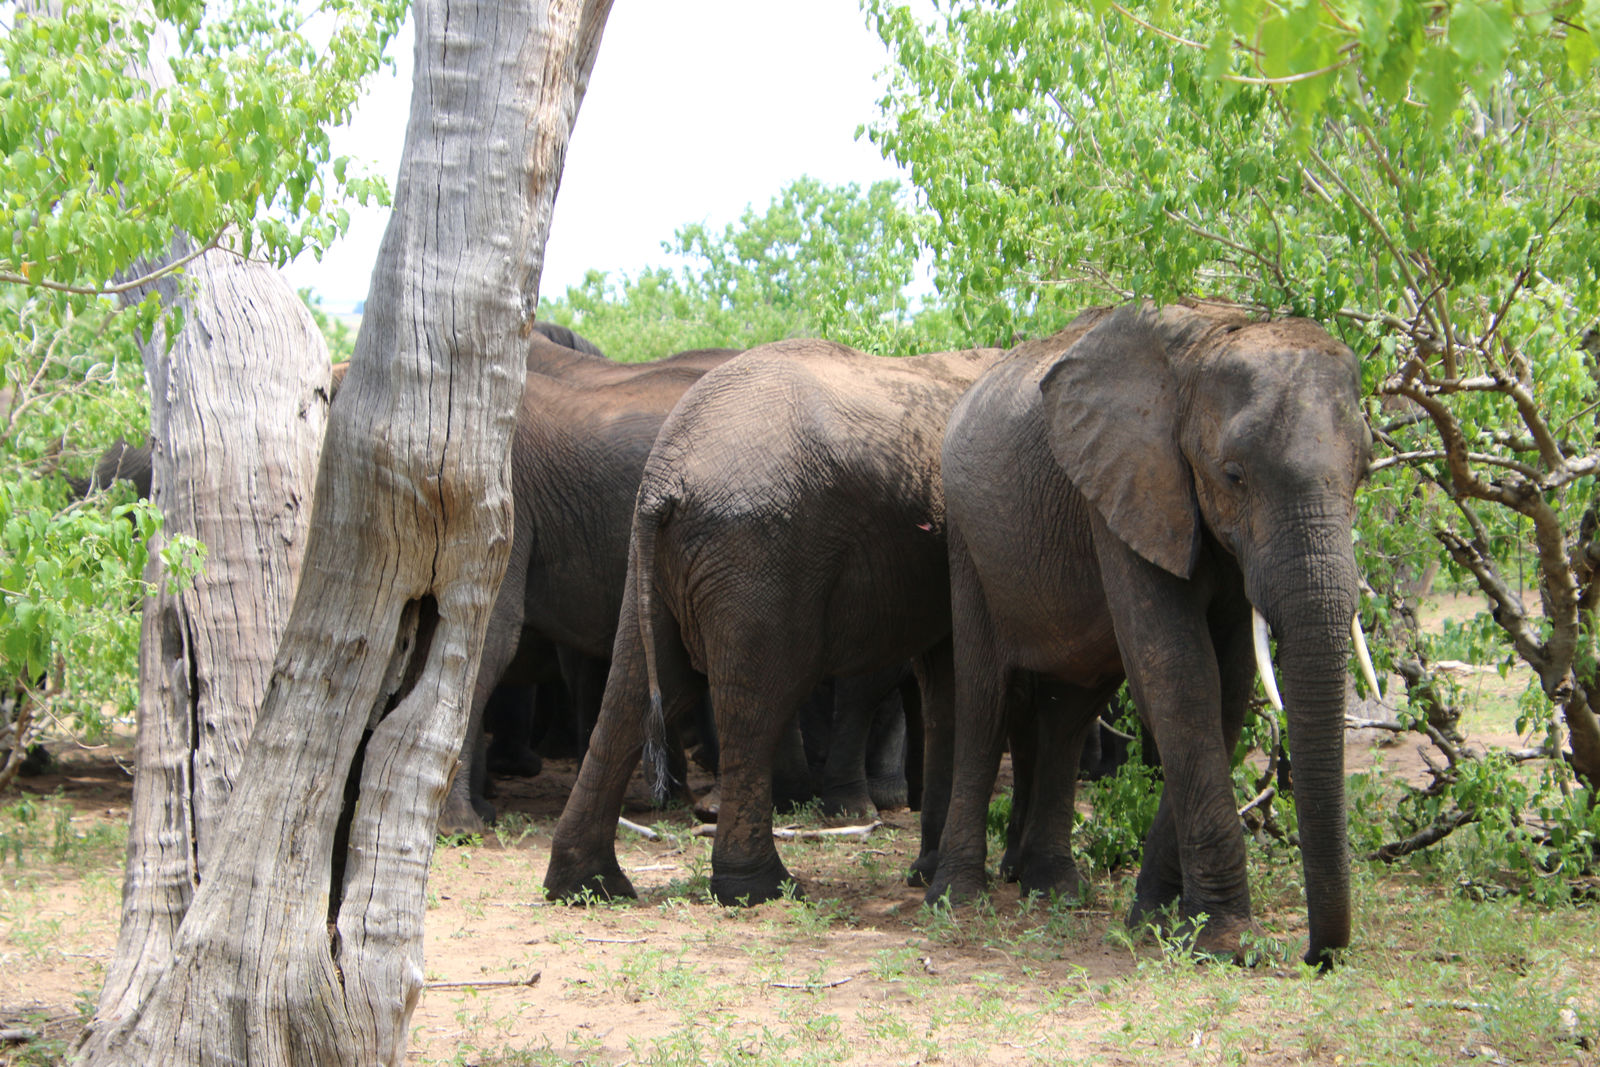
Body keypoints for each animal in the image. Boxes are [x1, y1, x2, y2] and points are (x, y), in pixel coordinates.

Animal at [542, 338, 1003, 906]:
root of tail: (665, 477)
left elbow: (949, 686)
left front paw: (926, 873)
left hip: (658, 558)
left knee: (636, 691)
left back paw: (588, 886)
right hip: (759, 545)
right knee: (757, 701)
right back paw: (760, 888)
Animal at [924, 302, 1370, 968]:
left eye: (1364, 473)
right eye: (1234, 476)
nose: (1319, 957)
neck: (1212, 342)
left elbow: (1227, 686)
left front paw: (1157, 920)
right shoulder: (1127, 488)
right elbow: (1180, 675)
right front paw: (1224, 943)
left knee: (1069, 710)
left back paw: (1054, 889)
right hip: (968, 538)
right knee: (984, 698)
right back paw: (955, 898)